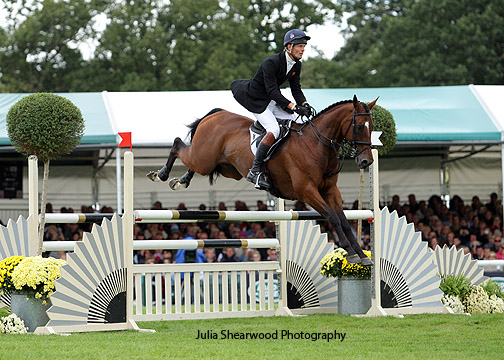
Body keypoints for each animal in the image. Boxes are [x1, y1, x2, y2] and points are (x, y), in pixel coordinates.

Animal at [150, 95, 378, 264]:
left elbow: (344, 220)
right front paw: (350, 253)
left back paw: (181, 180)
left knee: (192, 161)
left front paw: (361, 255)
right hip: (204, 158)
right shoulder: (306, 191)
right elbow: (332, 217)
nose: (366, 161)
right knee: (178, 145)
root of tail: (216, 114)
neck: (316, 144)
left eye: (372, 125)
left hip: (224, 167)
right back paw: (161, 174)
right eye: (359, 126)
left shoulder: (330, 190)